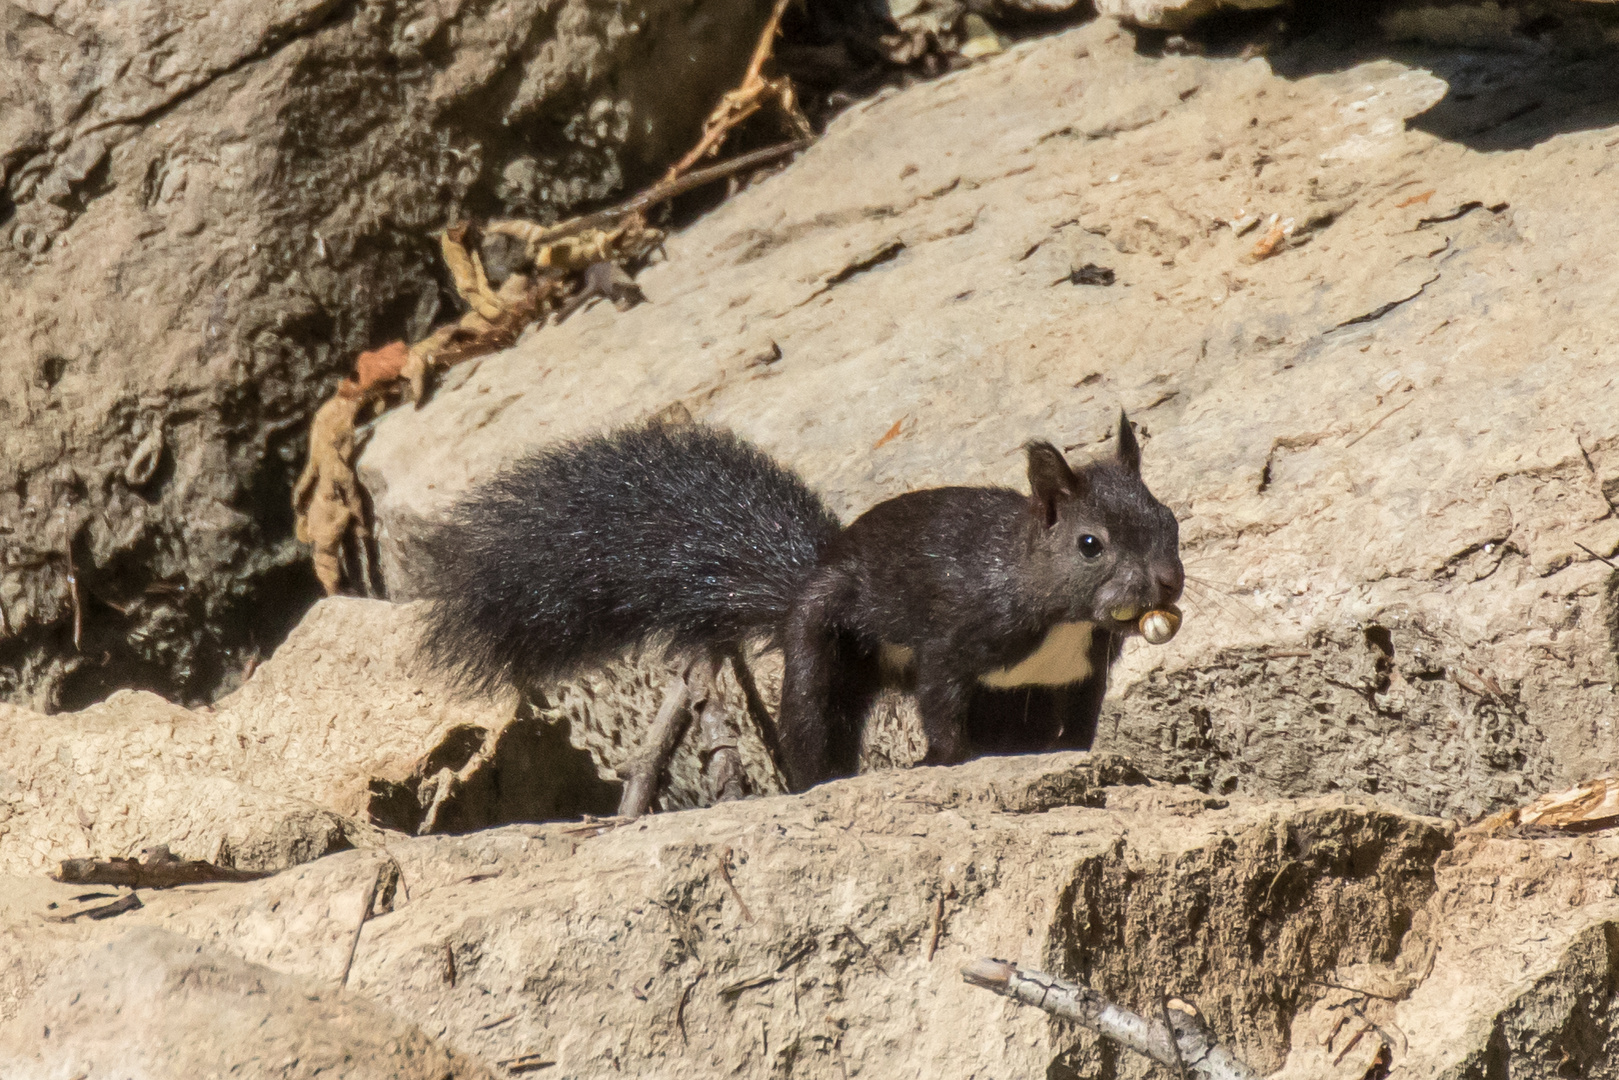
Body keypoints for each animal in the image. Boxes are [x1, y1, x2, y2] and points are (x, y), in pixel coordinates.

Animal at [416, 414, 1183, 791]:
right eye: (1090, 544)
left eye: (1168, 518)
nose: (1166, 585)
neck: (1059, 620)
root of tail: (803, 577)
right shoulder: (957, 632)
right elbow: (941, 701)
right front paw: (946, 761)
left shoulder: (1080, 672)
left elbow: (1079, 723)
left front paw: (1082, 758)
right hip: (824, 644)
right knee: (816, 724)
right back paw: (820, 780)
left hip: (1006, 698)